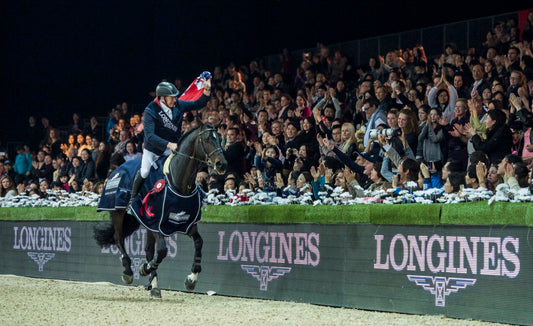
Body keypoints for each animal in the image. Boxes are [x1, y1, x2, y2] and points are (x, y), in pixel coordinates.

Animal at [93, 123, 227, 298]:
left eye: (219, 139)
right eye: (206, 139)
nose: (222, 164)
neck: (178, 182)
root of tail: (115, 170)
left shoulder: (187, 223)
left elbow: (199, 242)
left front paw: (191, 279)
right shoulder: (155, 222)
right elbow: (162, 251)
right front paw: (144, 269)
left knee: (148, 250)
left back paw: (154, 287)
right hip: (118, 213)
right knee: (118, 238)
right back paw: (129, 272)